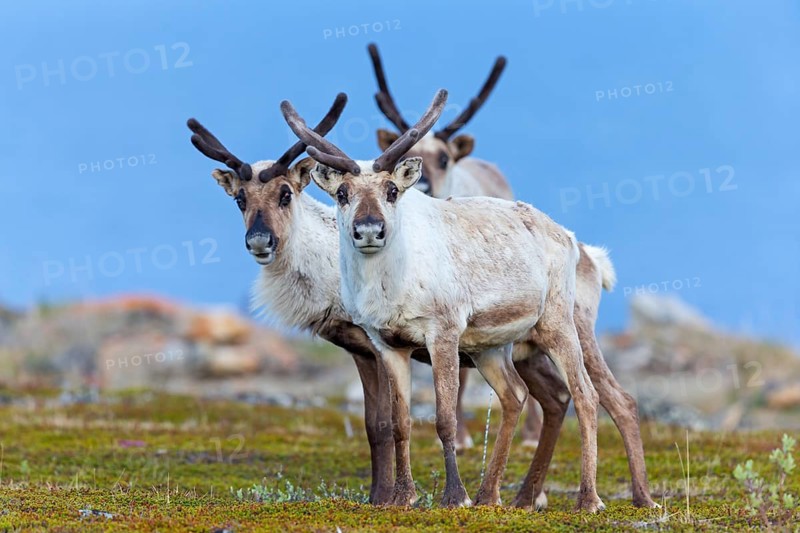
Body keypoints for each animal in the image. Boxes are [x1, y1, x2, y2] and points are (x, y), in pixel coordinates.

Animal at [282, 89, 606, 511]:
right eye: (341, 193)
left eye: (392, 191)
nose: (369, 229)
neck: (391, 289)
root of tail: (567, 236)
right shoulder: (388, 344)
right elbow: (401, 423)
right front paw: (402, 496)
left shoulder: (444, 332)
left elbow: (444, 418)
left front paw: (455, 496)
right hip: (489, 346)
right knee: (514, 394)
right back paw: (490, 494)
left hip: (556, 322)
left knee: (585, 394)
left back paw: (588, 499)